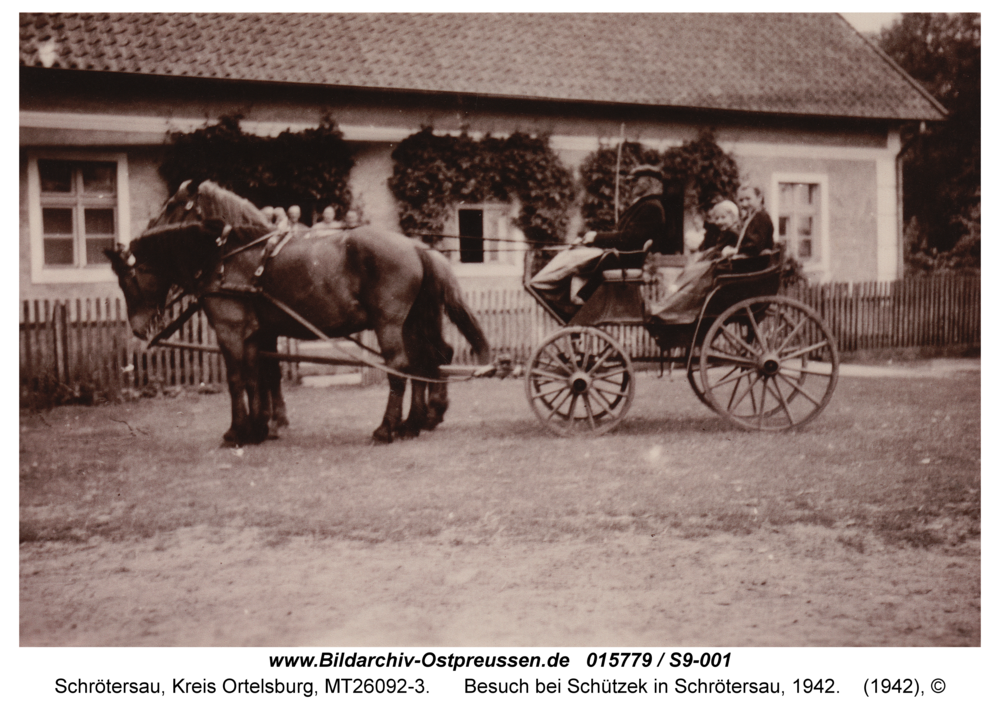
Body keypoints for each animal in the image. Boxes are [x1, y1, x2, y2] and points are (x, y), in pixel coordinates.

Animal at [107, 179, 490, 444]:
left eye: (128, 279)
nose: (137, 328)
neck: (230, 255)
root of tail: (414, 244)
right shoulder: (256, 333)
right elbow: (258, 377)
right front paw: (259, 428)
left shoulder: (230, 331)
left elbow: (237, 379)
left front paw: (237, 431)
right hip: (411, 323)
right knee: (427, 361)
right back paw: (414, 422)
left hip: (390, 323)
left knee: (400, 368)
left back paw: (387, 428)